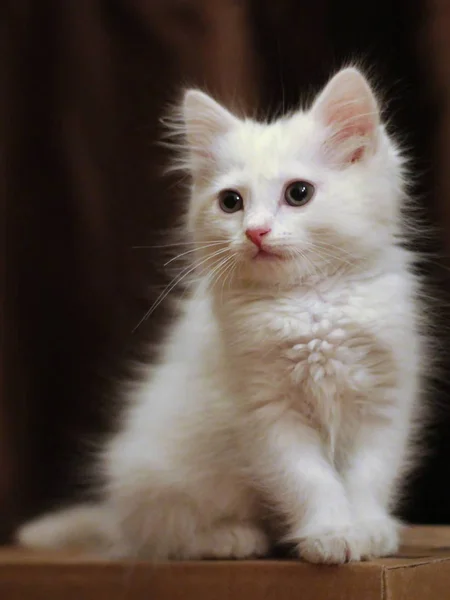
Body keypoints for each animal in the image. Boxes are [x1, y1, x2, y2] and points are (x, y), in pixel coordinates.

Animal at [16, 68, 426, 564]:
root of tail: (115, 513)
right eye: (231, 202)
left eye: (299, 193)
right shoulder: (267, 413)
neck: (310, 303)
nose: (255, 232)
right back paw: (232, 537)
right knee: (163, 533)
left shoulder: (384, 400)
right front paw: (330, 533)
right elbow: (309, 481)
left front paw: (368, 530)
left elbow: (369, 476)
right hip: (167, 471)